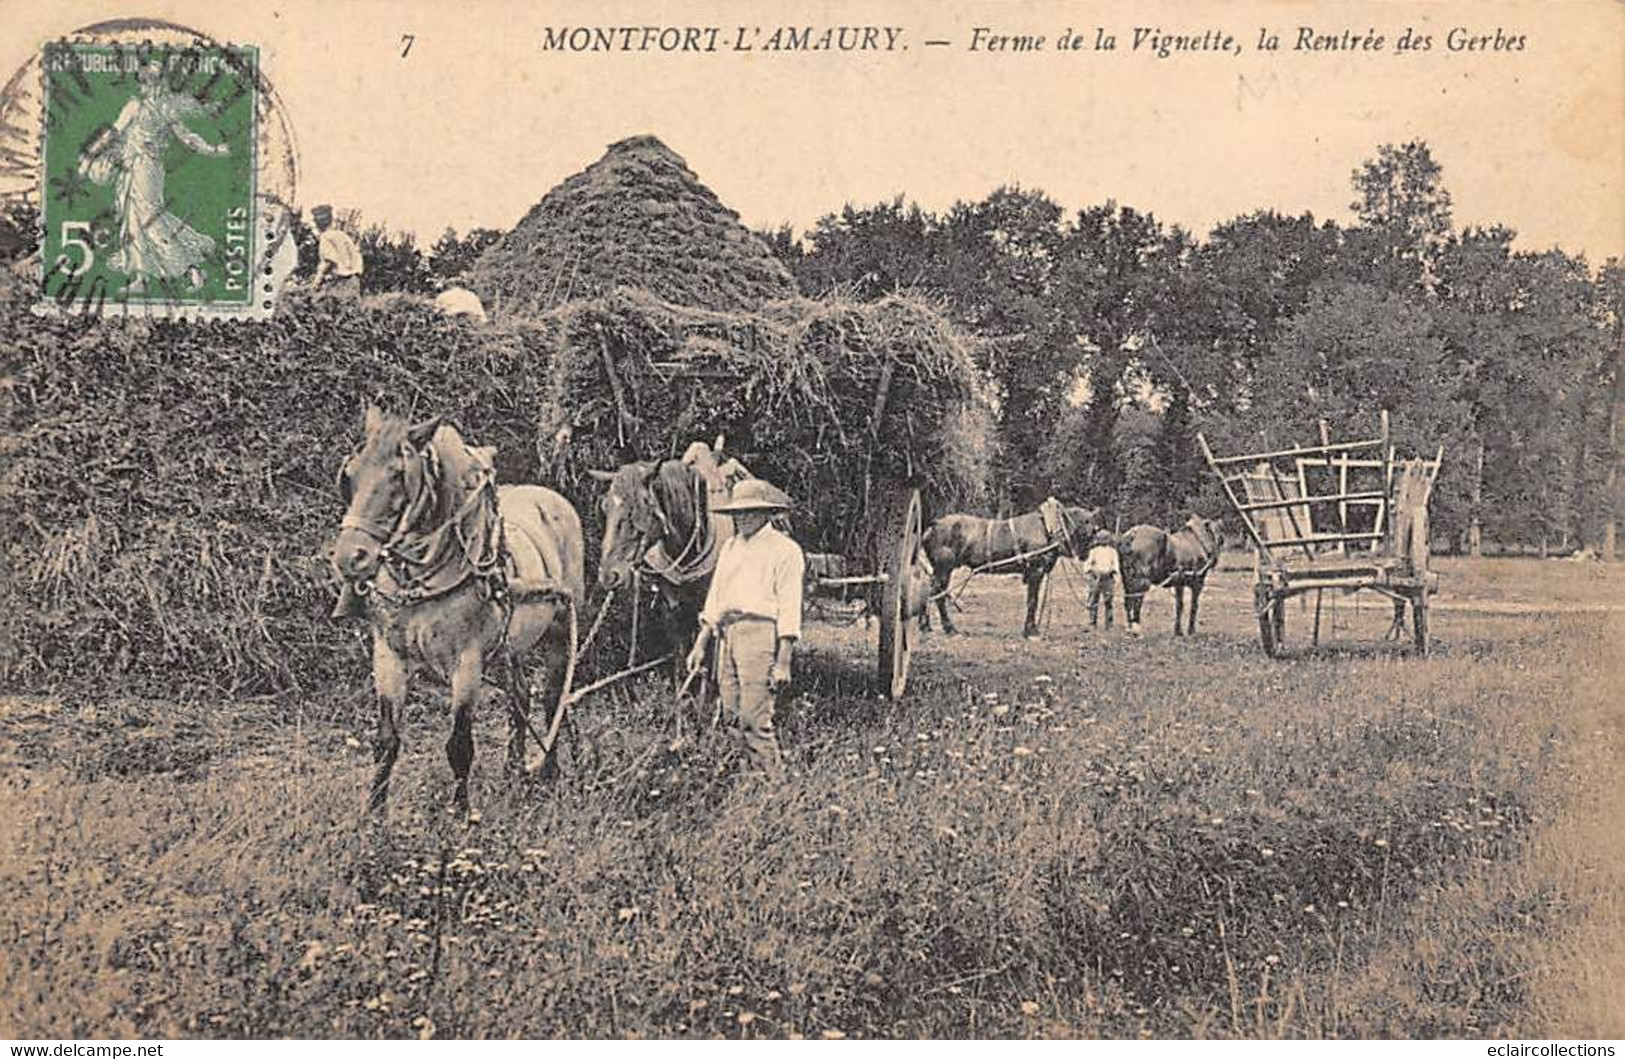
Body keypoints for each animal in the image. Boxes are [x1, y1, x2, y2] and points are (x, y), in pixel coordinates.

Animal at [328, 402, 585, 812]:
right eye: (349, 475)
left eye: (399, 476)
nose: (349, 558)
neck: (421, 581)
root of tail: (549, 495)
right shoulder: (388, 657)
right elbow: (386, 743)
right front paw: (373, 815)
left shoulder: (467, 662)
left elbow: (460, 746)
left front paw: (462, 814)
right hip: (509, 646)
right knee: (520, 696)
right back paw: (513, 772)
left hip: (560, 628)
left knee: (551, 698)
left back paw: (549, 773)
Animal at [923, 497, 1098, 636]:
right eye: (1087, 527)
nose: (1087, 555)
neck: (1049, 529)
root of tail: (933, 526)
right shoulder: (1035, 570)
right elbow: (1032, 601)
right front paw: (1030, 630)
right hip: (944, 568)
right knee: (936, 594)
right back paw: (948, 628)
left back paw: (926, 625)